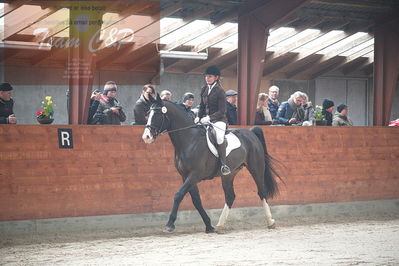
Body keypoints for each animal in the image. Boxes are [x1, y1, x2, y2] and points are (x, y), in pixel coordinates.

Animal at [142, 95, 280, 233]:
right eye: (148, 114)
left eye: (158, 114)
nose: (146, 137)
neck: (189, 141)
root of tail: (251, 133)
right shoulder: (185, 176)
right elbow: (196, 200)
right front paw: (208, 225)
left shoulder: (195, 175)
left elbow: (178, 195)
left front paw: (170, 224)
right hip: (229, 174)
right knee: (230, 196)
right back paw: (220, 225)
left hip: (256, 168)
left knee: (261, 192)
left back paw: (271, 222)